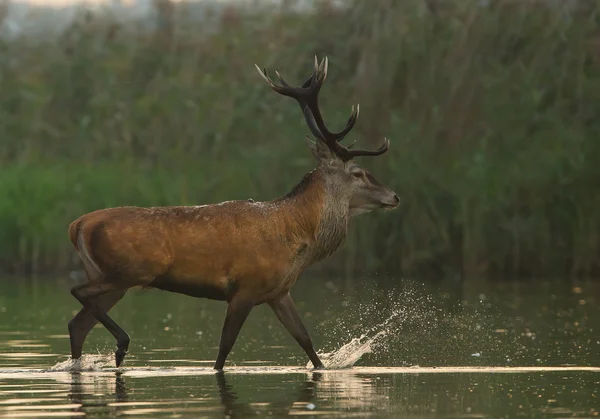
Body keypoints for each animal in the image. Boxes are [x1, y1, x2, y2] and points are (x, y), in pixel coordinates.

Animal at [65, 56, 398, 370]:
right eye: (358, 173)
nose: (394, 196)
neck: (296, 235)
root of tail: (77, 225)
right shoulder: (244, 289)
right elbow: (223, 351)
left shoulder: (278, 292)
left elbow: (306, 341)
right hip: (132, 269)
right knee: (77, 291)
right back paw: (122, 344)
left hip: (112, 276)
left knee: (77, 324)